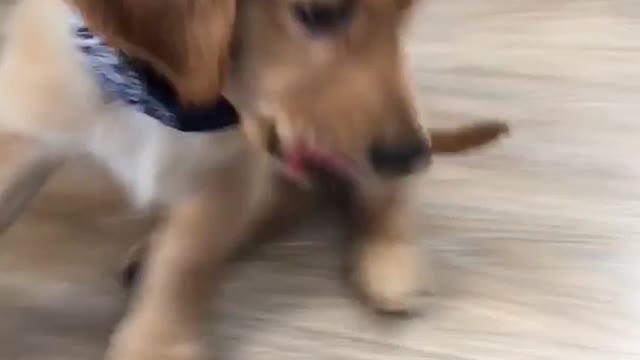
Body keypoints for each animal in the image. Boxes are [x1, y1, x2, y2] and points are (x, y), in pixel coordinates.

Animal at [0, 0, 508, 360]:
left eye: (405, 15)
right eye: (321, 13)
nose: (410, 155)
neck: (159, 99)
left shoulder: (228, 174)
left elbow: (185, 265)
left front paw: (156, 344)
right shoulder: (22, 133)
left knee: (372, 196)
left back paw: (391, 261)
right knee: (289, 201)